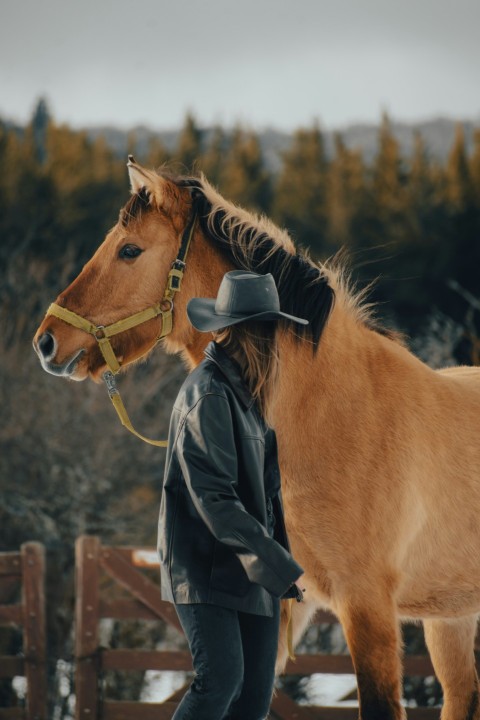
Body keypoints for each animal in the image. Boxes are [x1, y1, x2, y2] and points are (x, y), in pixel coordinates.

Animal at [33, 158, 480, 720]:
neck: (334, 412)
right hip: (451, 618)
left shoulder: (368, 607)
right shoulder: (286, 605)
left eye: (129, 250)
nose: (47, 342)